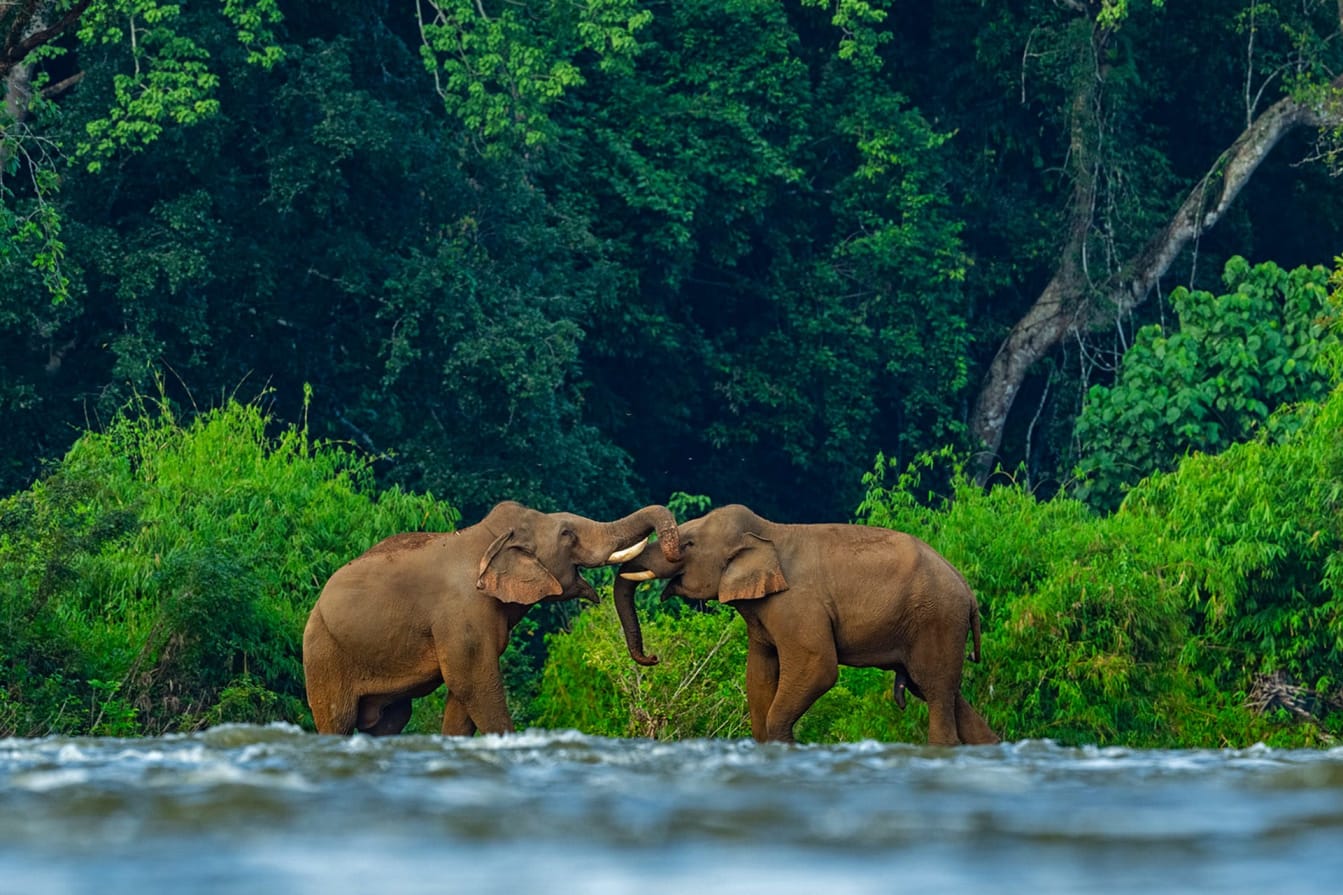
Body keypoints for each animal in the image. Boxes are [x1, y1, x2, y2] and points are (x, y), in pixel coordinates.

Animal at [303, 500, 681, 736]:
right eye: (567, 535)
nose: (653, 658)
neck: (488, 539)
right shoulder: (462, 613)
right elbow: (472, 684)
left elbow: (461, 698)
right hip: (323, 652)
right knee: (338, 718)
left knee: (389, 721)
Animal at [613, 504, 999, 746]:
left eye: (689, 545)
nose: (652, 658)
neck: (767, 531)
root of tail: (967, 590)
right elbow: (758, 675)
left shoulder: (798, 605)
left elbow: (818, 668)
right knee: (944, 691)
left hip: (937, 620)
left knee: (936, 691)